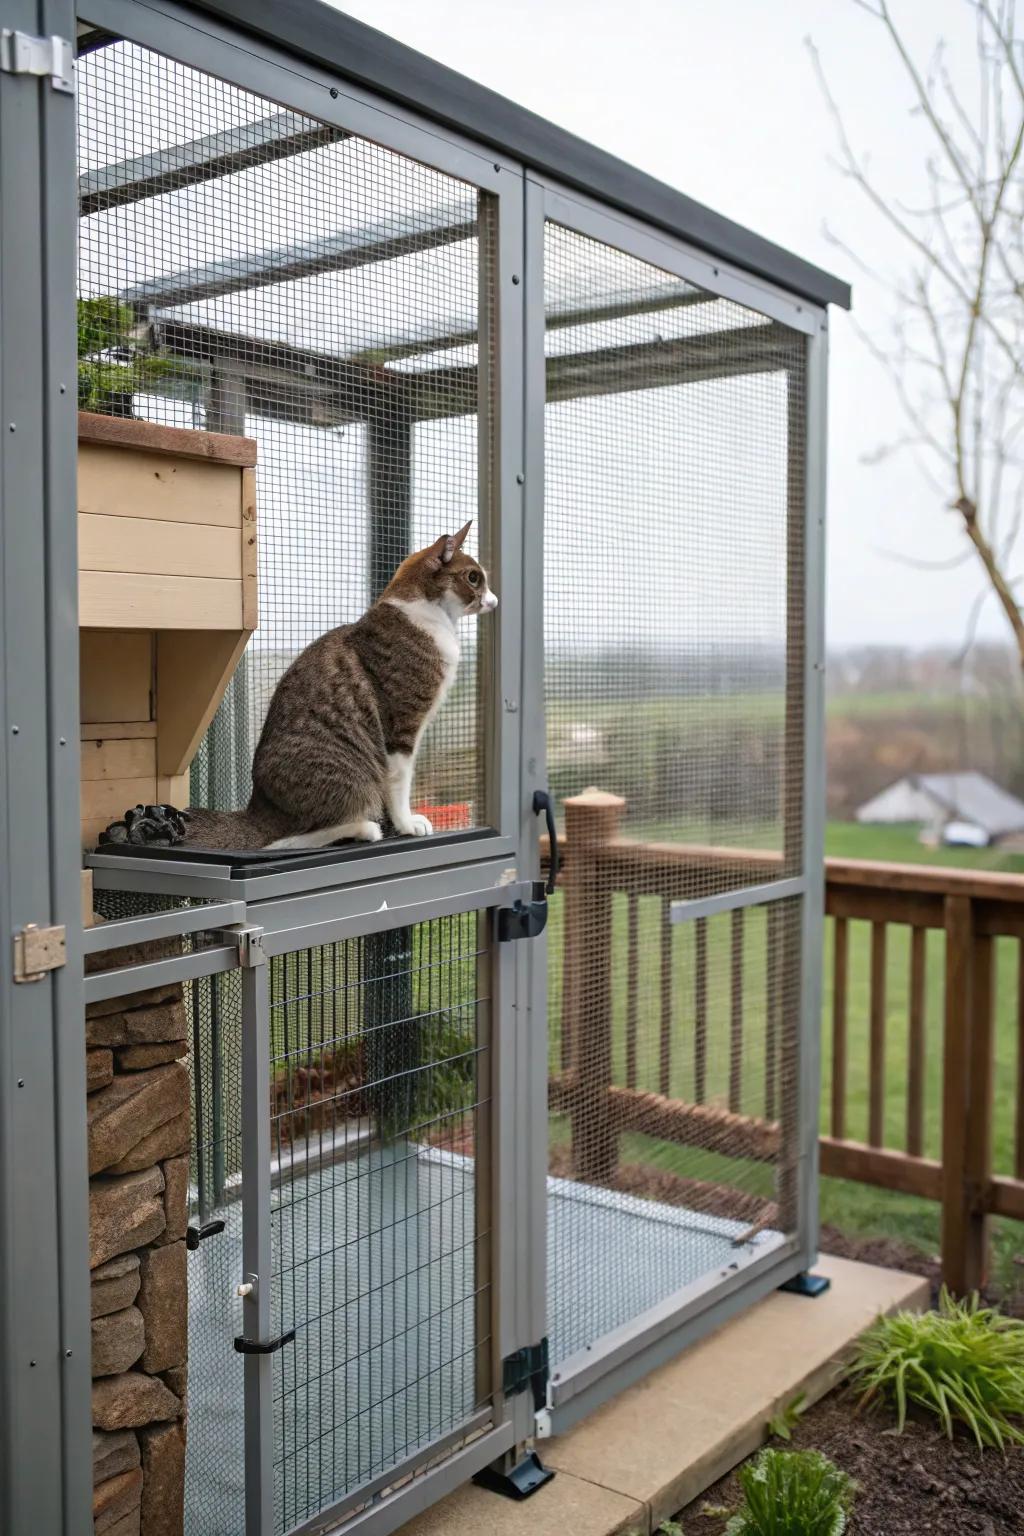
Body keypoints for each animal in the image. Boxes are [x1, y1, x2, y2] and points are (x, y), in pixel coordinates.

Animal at [99, 519, 497, 854]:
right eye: (474, 578)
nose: (494, 601)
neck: (429, 617)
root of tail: (259, 811)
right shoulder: (402, 722)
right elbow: (399, 780)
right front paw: (405, 823)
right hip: (351, 776)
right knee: (289, 838)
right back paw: (364, 828)